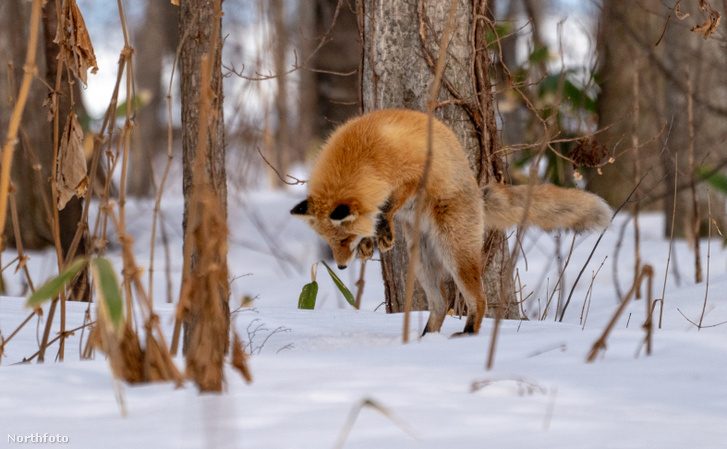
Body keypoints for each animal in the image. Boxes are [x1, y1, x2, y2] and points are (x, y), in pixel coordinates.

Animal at [292, 109, 612, 332]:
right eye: (330, 242)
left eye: (344, 239)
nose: (341, 267)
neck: (366, 155)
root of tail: (478, 193)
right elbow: (378, 215)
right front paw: (372, 240)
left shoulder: (413, 175)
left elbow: (389, 206)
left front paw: (382, 227)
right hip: (422, 262)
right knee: (441, 304)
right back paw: (425, 340)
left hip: (456, 254)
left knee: (478, 301)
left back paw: (468, 333)